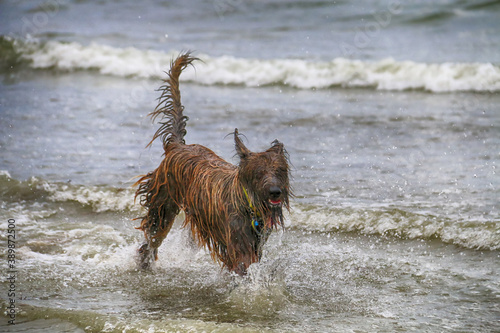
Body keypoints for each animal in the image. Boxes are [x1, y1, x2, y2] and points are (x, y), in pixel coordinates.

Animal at [134, 52, 292, 274]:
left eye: (280, 170)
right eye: (259, 173)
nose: (275, 192)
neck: (248, 203)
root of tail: (177, 146)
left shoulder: (257, 241)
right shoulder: (237, 243)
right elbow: (243, 263)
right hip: (163, 203)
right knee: (153, 237)